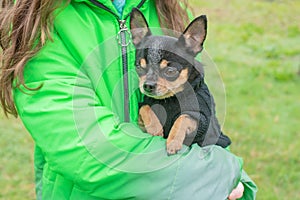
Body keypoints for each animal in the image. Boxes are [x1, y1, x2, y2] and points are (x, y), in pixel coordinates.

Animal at [130, 8, 231, 155]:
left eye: (170, 71)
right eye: (139, 67)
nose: (148, 85)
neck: (169, 99)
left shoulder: (200, 119)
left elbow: (183, 118)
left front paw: (173, 141)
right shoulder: (144, 109)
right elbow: (145, 107)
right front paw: (155, 127)